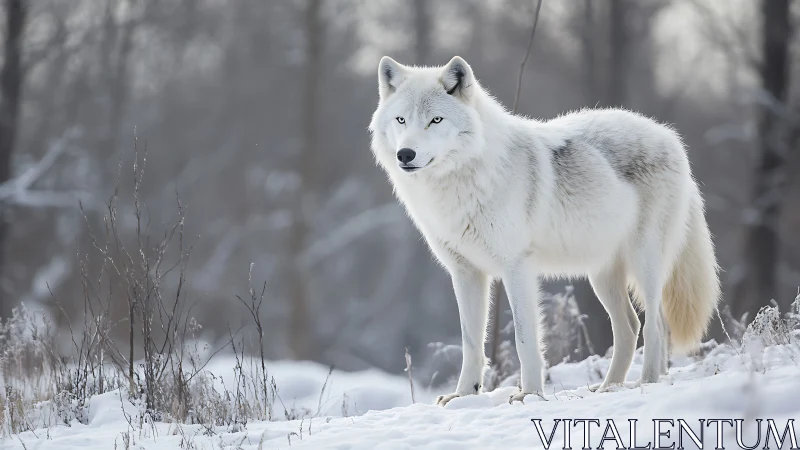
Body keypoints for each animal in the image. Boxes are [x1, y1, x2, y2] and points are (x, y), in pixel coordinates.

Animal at [368, 56, 720, 405]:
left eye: (436, 120)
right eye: (401, 120)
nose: (405, 154)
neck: (463, 181)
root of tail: (670, 137)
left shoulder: (517, 268)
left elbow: (525, 338)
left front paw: (530, 393)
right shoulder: (466, 272)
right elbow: (471, 342)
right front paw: (463, 394)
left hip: (644, 263)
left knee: (656, 326)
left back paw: (646, 383)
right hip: (602, 276)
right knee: (631, 326)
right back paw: (610, 387)